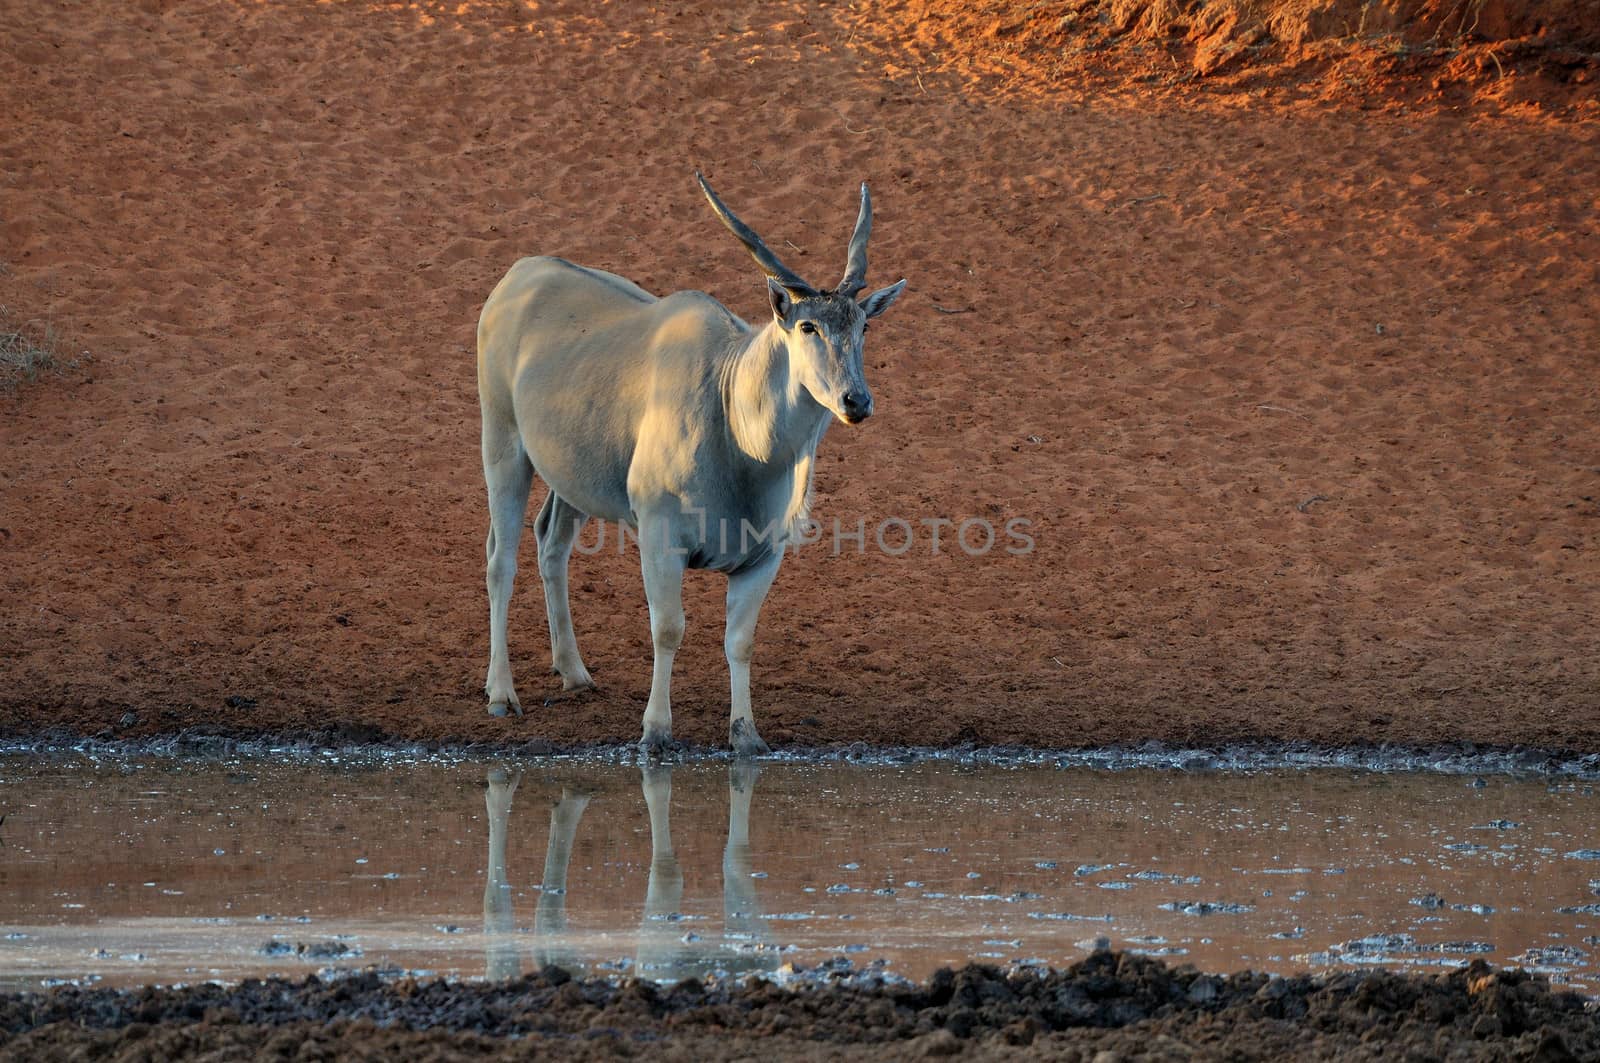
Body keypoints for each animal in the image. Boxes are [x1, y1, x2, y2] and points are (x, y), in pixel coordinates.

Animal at [473, 174, 908, 752]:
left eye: (862, 328)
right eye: (808, 327)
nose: (856, 401)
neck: (735, 422)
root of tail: (519, 274)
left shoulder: (763, 554)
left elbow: (740, 640)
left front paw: (746, 734)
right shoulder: (661, 536)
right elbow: (668, 628)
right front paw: (656, 730)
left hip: (572, 477)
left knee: (551, 542)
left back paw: (574, 672)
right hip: (503, 443)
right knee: (501, 558)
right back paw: (501, 693)